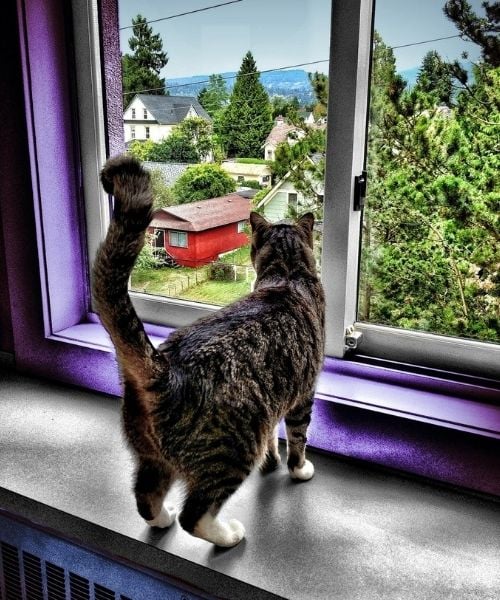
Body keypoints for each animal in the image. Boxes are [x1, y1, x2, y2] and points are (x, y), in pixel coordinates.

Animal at [94, 156, 326, 548]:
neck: (286, 275)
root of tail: (164, 370)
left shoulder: (275, 400)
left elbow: (273, 439)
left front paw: (272, 463)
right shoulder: (301, 394)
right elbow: (297, 438)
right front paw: (298, 469)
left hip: (152, 456)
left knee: (145, 497)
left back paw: (163, 518)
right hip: (231, 452)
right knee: (195, 515)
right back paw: (227, 535)